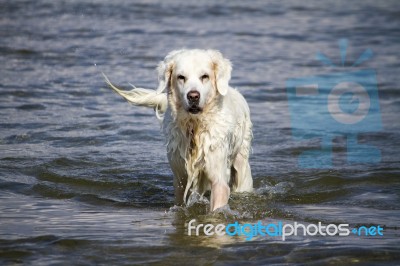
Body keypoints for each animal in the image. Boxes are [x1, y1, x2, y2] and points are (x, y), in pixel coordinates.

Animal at [103, 48, 253, 211]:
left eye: (205, 76)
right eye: (181, 77)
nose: (193, 96)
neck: (194, 125)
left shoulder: (218, 178)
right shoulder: (179, 176)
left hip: (241, 166)